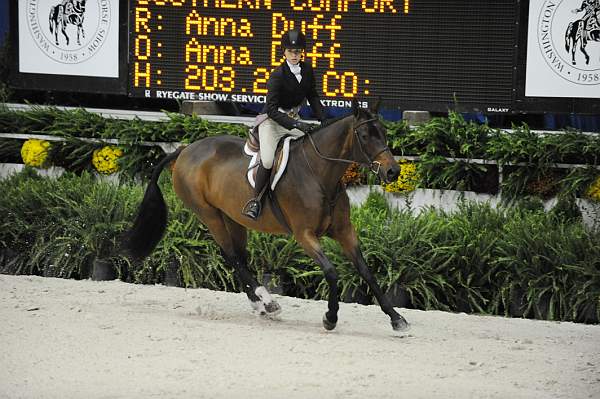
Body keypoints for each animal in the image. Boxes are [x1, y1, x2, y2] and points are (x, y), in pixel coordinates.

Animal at [124, 100, 410, 332]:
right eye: (364, 135)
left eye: (384, 133)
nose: (393, 172)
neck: (319, 175)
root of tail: (184, 150)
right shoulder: (304, 235)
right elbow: (331, 272)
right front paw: (330, 317)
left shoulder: (344, 232)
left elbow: (366, 271)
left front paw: (397, 318)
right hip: (209, 214)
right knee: (231, 256)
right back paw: (269, 303)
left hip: (233, 219)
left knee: (239, 257)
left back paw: (260, 304)